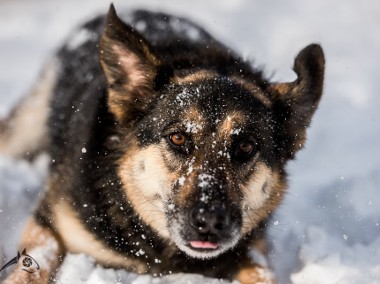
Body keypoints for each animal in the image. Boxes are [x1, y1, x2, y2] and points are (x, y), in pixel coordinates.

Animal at [0, 4, 324, 284]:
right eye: (178, 138)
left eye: (245, 146)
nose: (209, 221)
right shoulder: (49, 220)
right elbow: (36, 261)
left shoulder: (252, 248)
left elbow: (261, 271)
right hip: (26, 127)